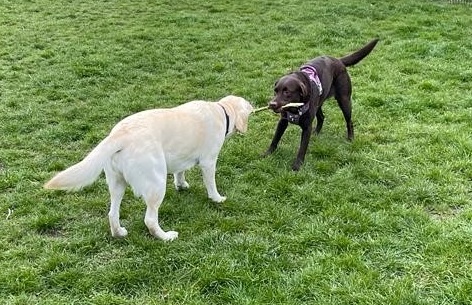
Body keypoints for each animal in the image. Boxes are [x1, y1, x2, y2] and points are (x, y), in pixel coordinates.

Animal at [44, 95, 254, 240]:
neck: (223, 111)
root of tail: (120, 134)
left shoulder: (180, 157)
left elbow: (180, 172)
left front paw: (181, 185)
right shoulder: (209, 161)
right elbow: (211, 185)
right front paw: (217, 198)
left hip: (116, 183)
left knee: (112, 213)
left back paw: (119, 233)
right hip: (156, 183)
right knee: (150, 220)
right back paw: (166, 237)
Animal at [266, 38, 380, 170]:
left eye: (287, 92)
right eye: (276, 91)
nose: (272, 104)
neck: (295, 108)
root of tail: (338, 60)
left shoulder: (307, 128)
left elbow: (302, 148)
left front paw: (297, 165)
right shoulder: (283, 121)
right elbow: (275, 139)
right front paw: (267, 153)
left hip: (344, 100)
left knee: (349, 122)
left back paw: (350, 138)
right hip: (318, 103)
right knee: (321, 117)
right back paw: (316, 132)